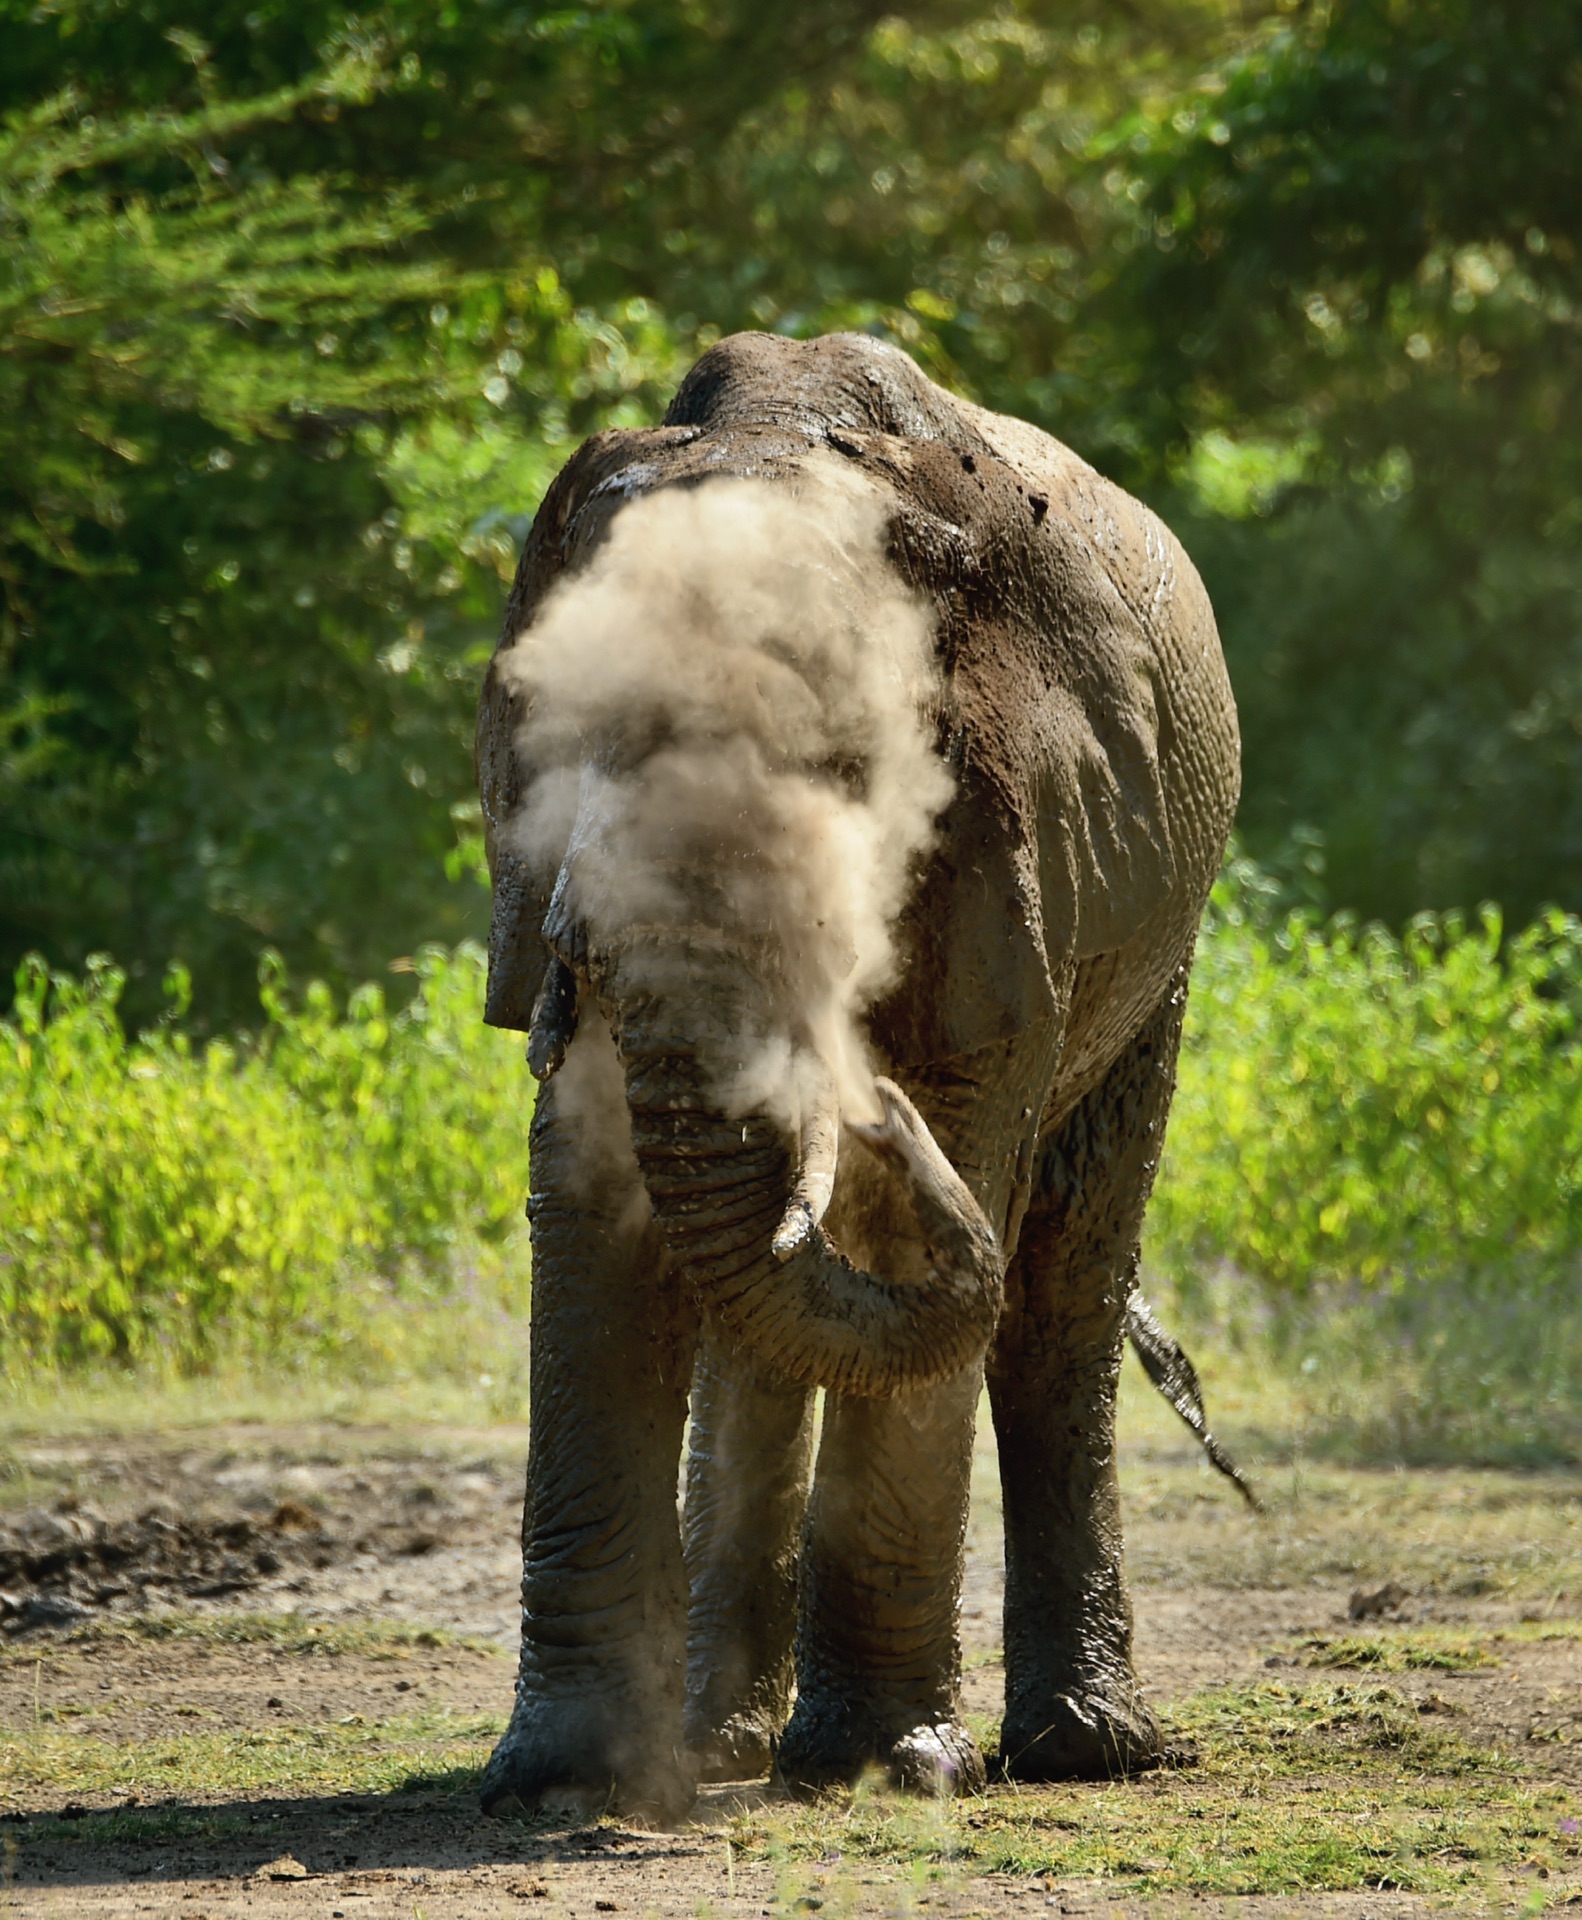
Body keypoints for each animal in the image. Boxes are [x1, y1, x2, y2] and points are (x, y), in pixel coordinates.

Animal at [476, 326, 1244, 1812]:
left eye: (846, 771)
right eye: (560, 745)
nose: (863, 1101)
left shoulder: (1012, 834)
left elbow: (939, 1173)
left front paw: (889, 1767)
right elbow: (592, 1199)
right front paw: (560, 1782)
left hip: (1159, 951)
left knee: (1059, 1291)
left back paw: (1082, 1751)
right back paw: (719, 1742)